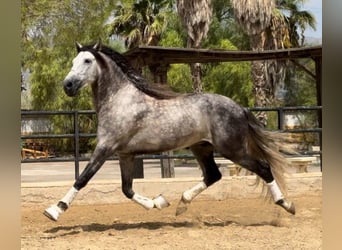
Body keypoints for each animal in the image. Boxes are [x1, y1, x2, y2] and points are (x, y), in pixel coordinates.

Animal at [44, 42, 296, 222]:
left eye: (87, 60)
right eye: (73, 60)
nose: (67, 85)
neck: (120, 101)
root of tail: (240, 108)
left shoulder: (105, 148)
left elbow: (83, 178)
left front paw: (54, 210)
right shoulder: (125, 154)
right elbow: (127, 189)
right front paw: (158, 203)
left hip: (233, 149)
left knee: (263, 168)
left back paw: (287, 205)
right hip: (202, 147)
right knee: (213, 175)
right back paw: (182, 204)